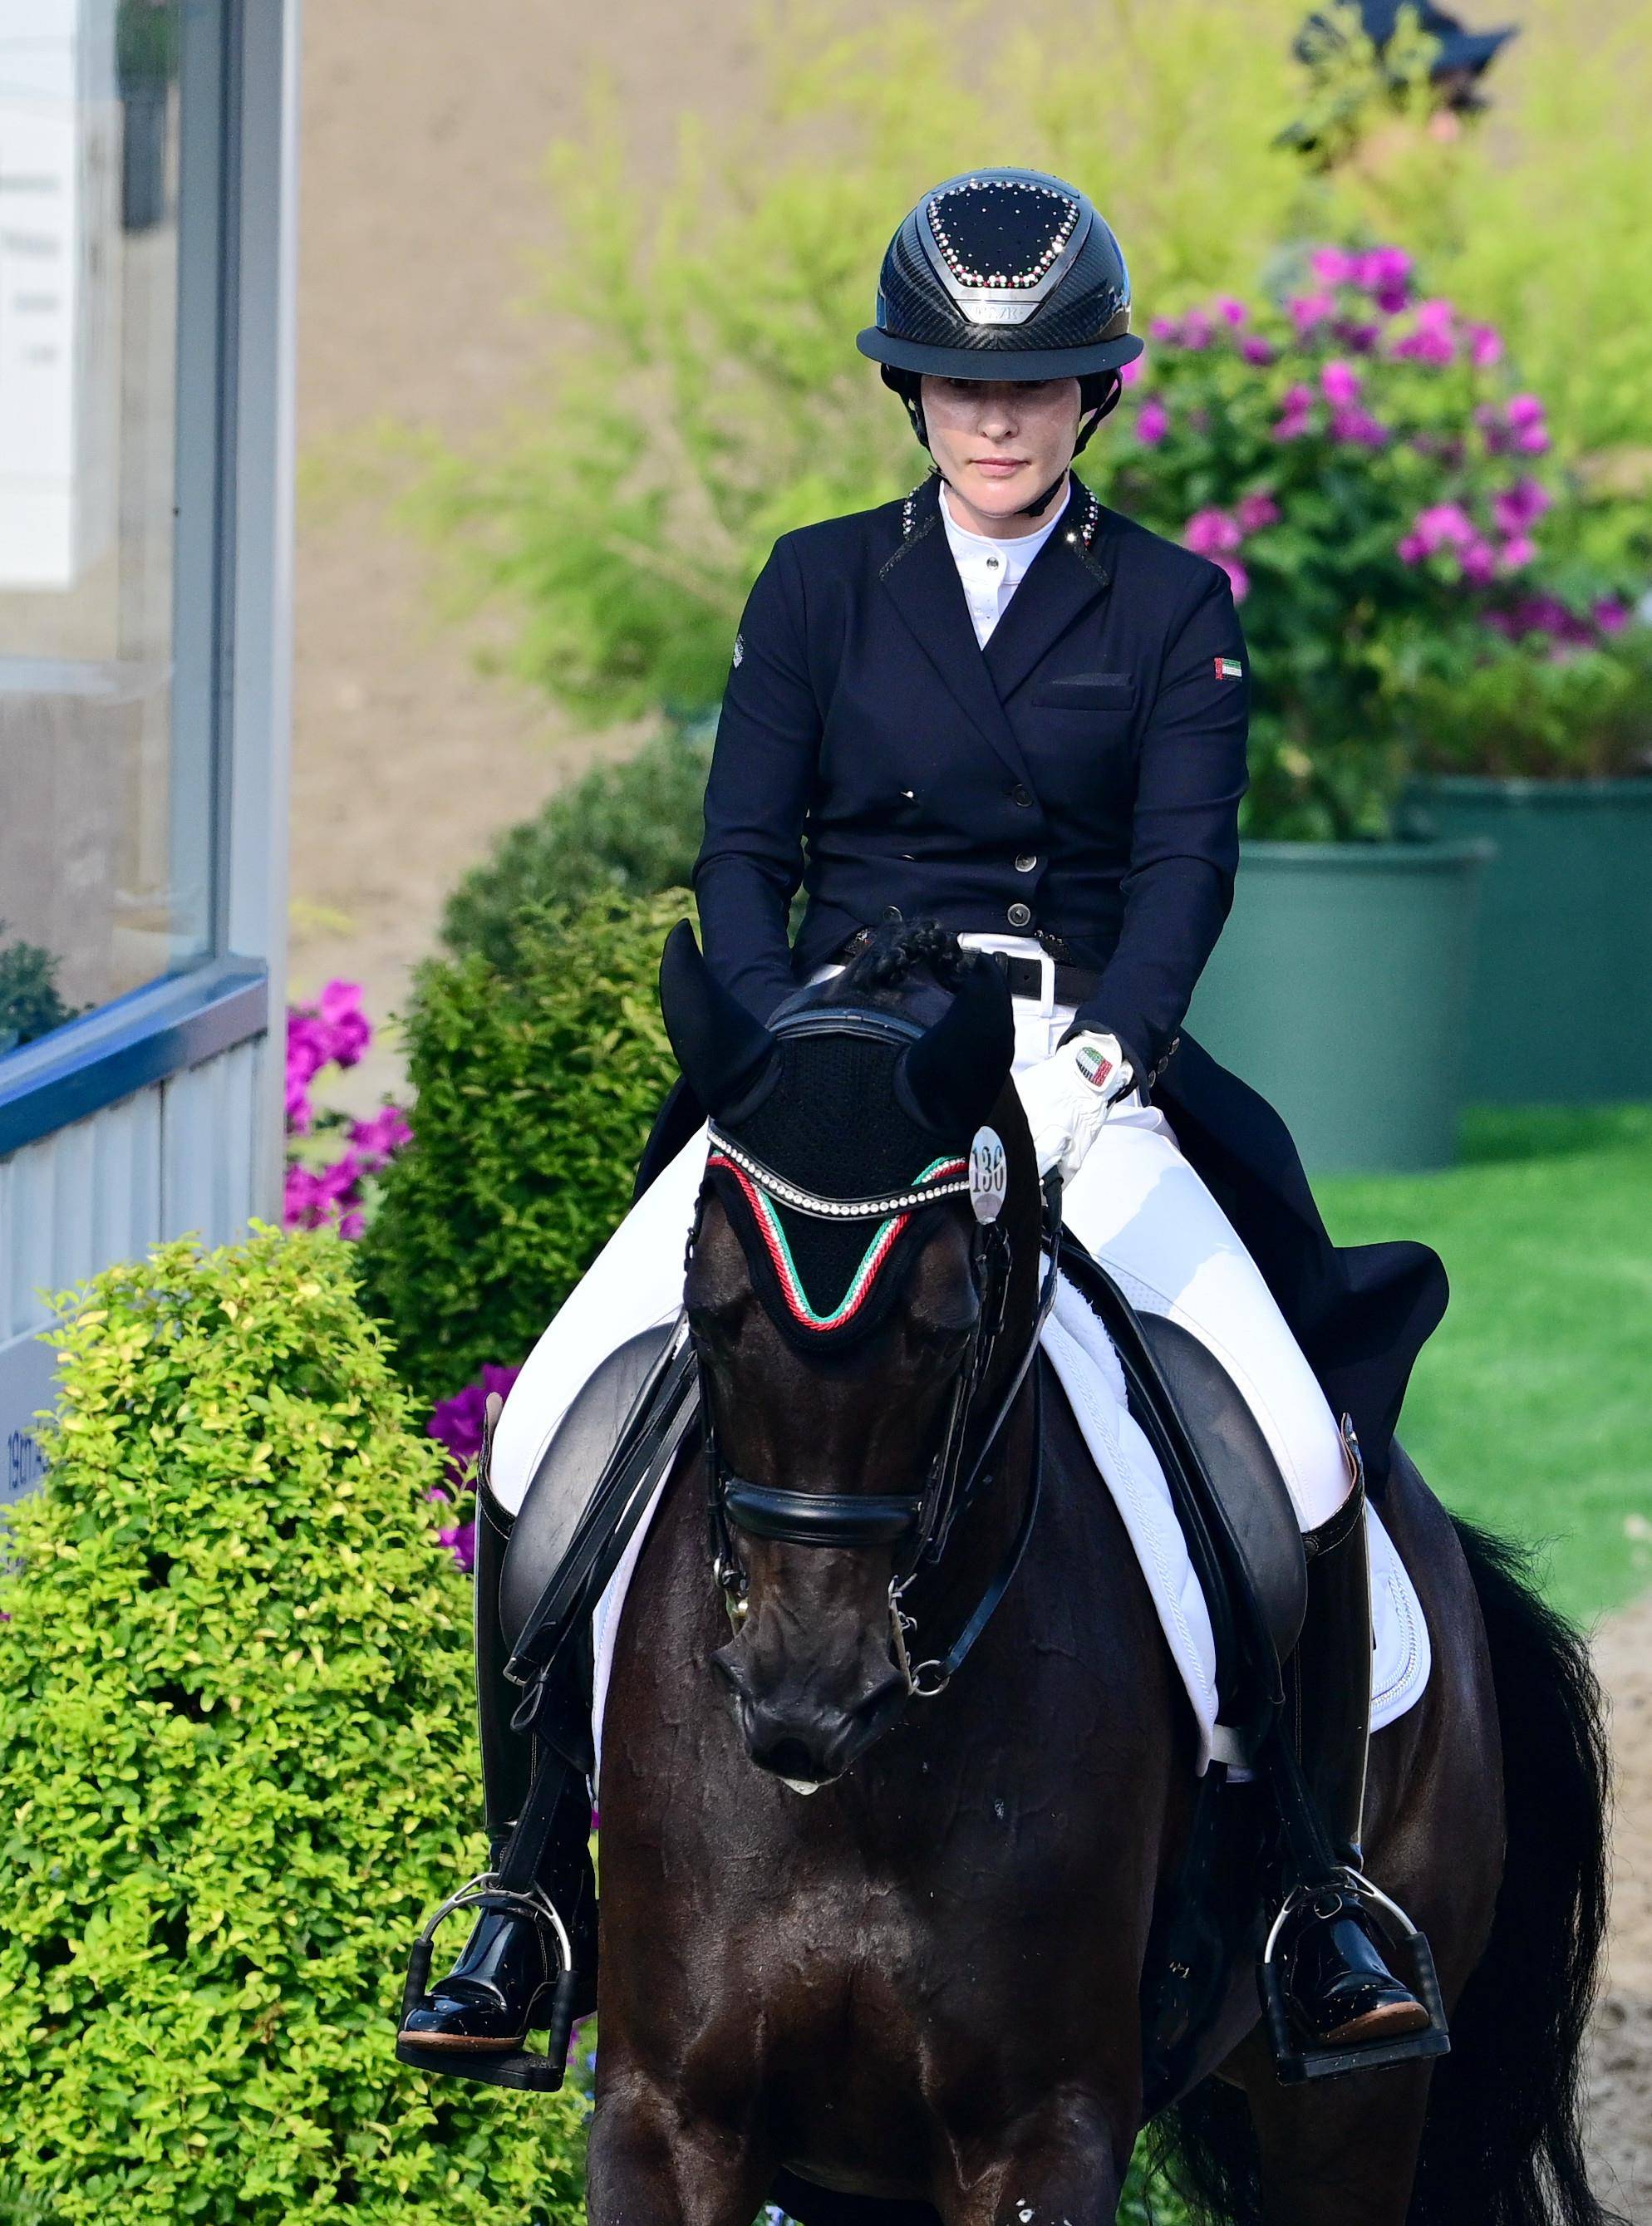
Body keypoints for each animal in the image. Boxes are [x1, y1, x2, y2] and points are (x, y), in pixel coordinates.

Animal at [578, 930, 1603, 2226]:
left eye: (944, 1325)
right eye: (709, 1314)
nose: (805, 1701)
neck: (864, 1795)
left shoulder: (1041, 2134)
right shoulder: (669, 2122)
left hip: (1352, 2108)